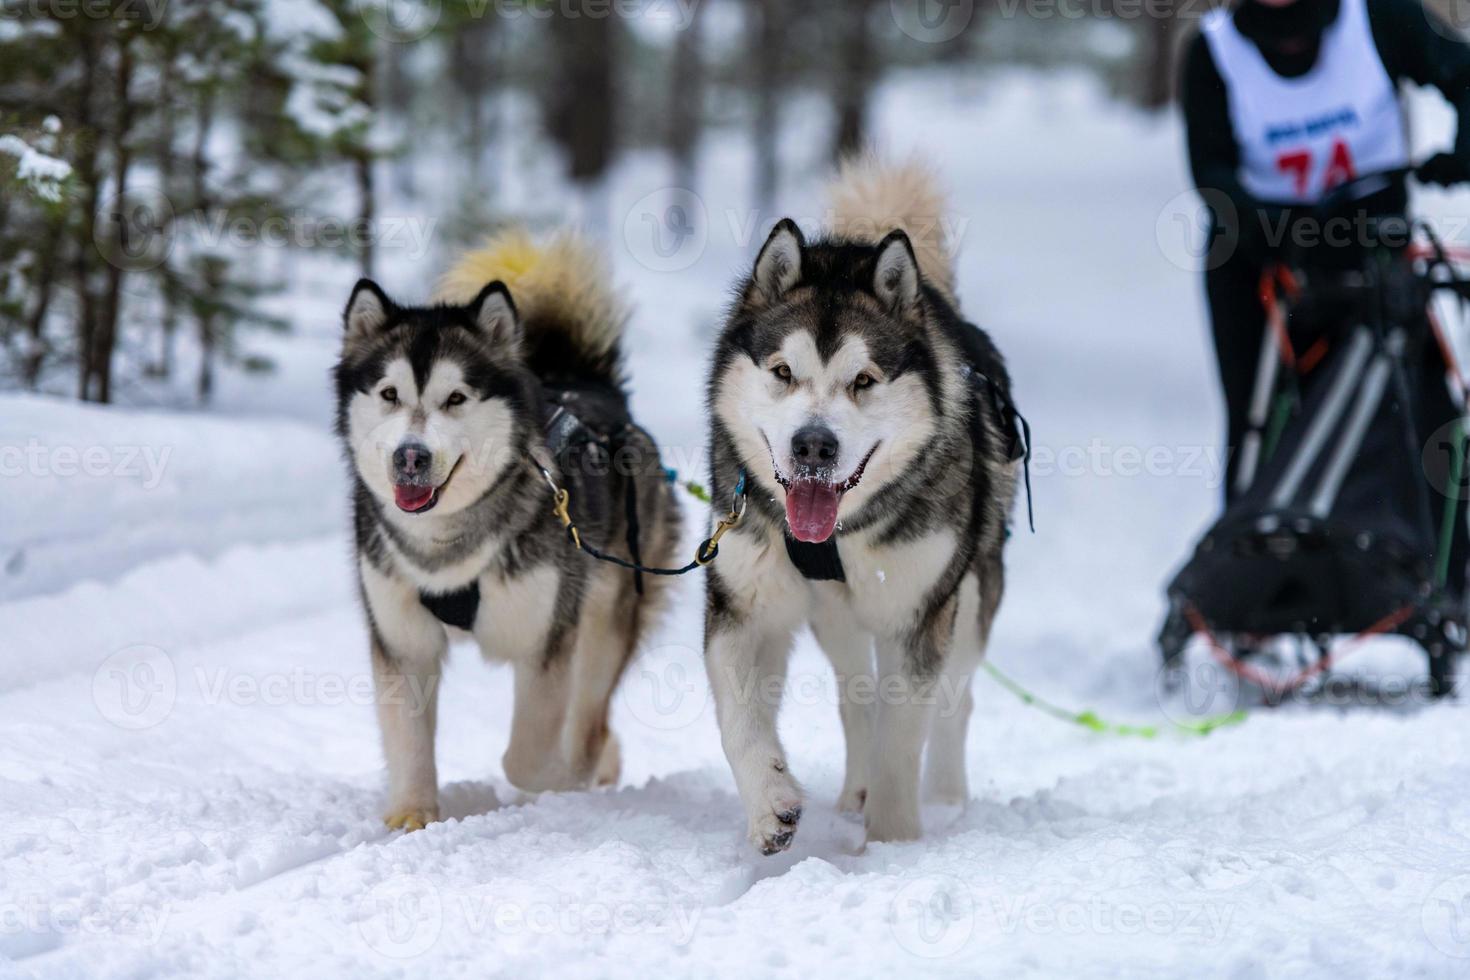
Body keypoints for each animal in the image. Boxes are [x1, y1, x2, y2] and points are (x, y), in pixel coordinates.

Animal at [336, 230, 679, 828]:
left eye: (455, 397)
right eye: (389, 394)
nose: (410, 457)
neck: (447, 545)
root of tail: (589, 386)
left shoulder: (545, 637)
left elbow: (528, 755)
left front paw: (558, 781)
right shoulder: (402, 640)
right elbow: (408, 737)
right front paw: (413, 812)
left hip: (606, 616)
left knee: (589, 716)